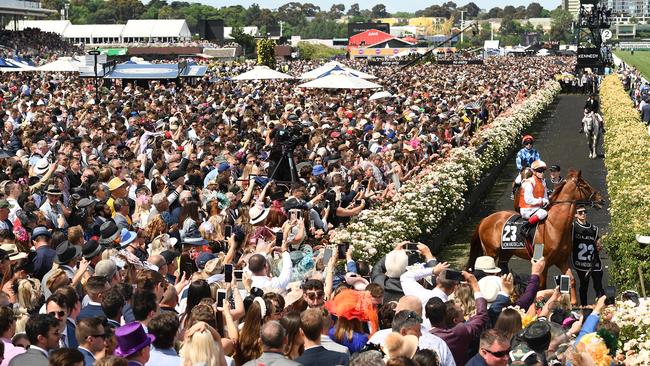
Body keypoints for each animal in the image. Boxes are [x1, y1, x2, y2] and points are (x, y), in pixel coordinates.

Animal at [466, 169, 596, 288]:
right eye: (585, 186)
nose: (600, 197)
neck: (554, 226)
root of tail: (485, 219)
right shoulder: (543, 263)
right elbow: (541, 287)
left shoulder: (562, 261)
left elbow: (571, 280)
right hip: (490, 252)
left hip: (506, 252)